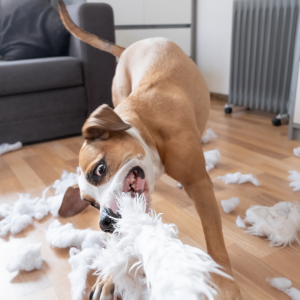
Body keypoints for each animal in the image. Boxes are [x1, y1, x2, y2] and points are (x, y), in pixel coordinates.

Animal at [57, 1, 243, 298]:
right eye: (91, 204)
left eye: (99, 169)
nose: (104, 222)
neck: (146, 128)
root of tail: (130, 47)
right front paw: (110, 277)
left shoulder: (199, 184)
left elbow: (215, 243)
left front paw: (226, 285)